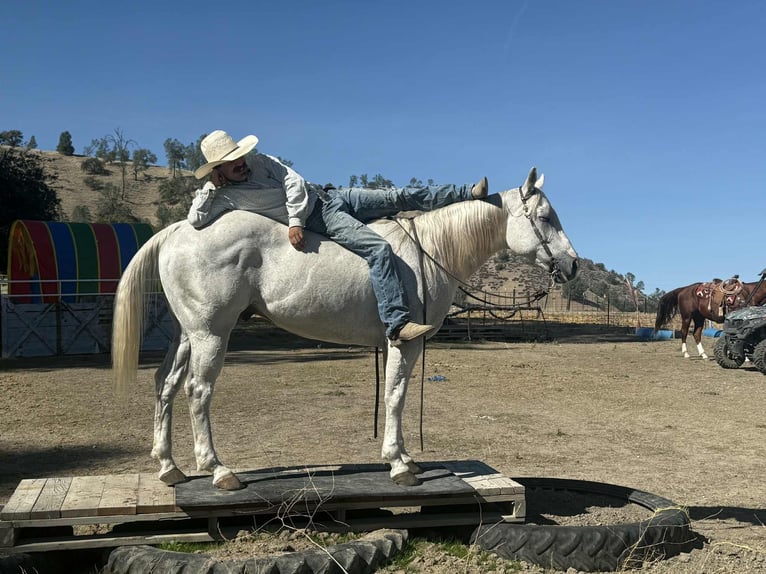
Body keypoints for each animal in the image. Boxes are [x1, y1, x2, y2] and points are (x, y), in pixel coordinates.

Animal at [112, 167, 578, 490]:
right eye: (545, 216)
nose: (573, 264)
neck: (432, 249)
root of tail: (178, 229)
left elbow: (395, 396)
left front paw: (406, 458)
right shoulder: (403, 343)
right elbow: (395, 396)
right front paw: (399, 465)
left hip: (186, 334)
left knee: (166, 383)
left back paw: (169, 467)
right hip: (211, 334)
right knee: (198, 391)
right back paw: (218, 470)